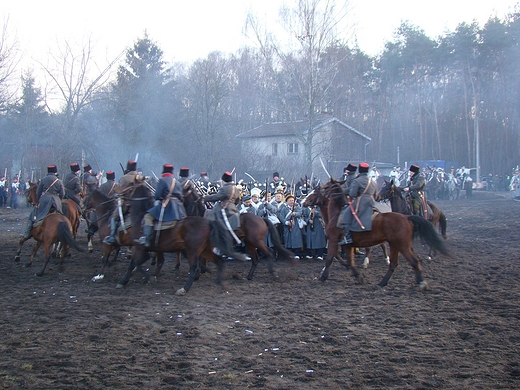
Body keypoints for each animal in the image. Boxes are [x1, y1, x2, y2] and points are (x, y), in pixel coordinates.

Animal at [306, 180, 448, 290]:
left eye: (317, 191)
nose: (303, 202)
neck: (336, 214)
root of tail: (407, 217)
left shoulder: (334, 240)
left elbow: (331, 258)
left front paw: (323, 277)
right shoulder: (346, 244)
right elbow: (349, 261)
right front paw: (359, 276)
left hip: (402, 245)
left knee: (413, 260)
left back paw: (421, 279)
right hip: (395, 245)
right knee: (394, 263)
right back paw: (382, 282)